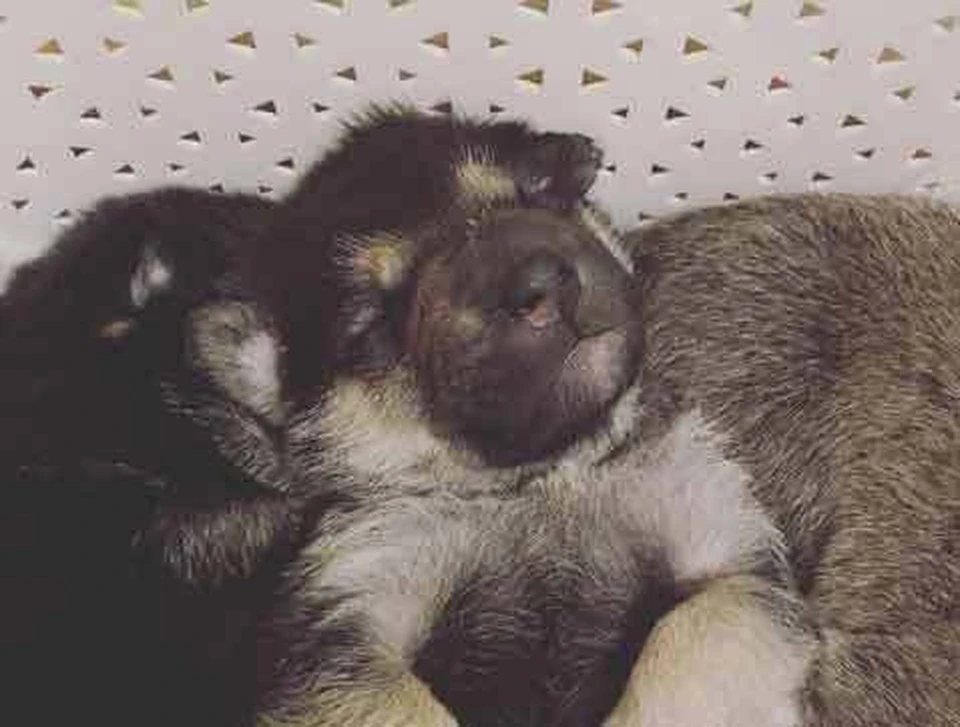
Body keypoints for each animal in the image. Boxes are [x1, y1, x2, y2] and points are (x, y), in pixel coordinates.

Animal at [246, 107, 815, 727]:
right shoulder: (348, 620)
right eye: (373, 323)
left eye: (535, 190)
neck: (548, 478)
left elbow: (694, 632)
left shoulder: (731, 560)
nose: (539, 284)